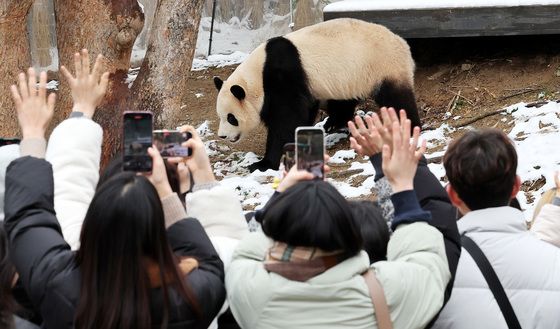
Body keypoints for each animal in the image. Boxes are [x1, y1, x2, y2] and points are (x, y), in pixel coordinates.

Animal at [213, 18, 420, 172]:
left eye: (231, 118)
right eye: (220, 116)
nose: (222, 135)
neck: (256, 76)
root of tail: (403, 43)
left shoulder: (282, 78)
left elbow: (287, 120)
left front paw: (263, 164)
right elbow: (304, 112)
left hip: (382, 65)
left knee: (397, 98)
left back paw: (408, 126)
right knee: (342, 102)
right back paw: (334, 123)